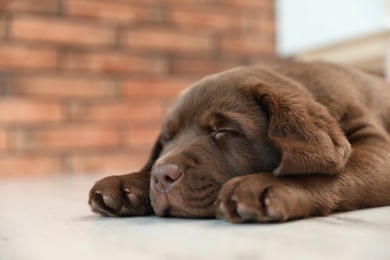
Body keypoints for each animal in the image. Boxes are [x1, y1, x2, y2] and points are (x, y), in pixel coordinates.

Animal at [87, 60, 390, 222]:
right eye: (167, 138)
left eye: (225, 130)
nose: (163, 176)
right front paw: (125, 184)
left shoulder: (378, 146)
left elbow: (335, 170)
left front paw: (265, 184)